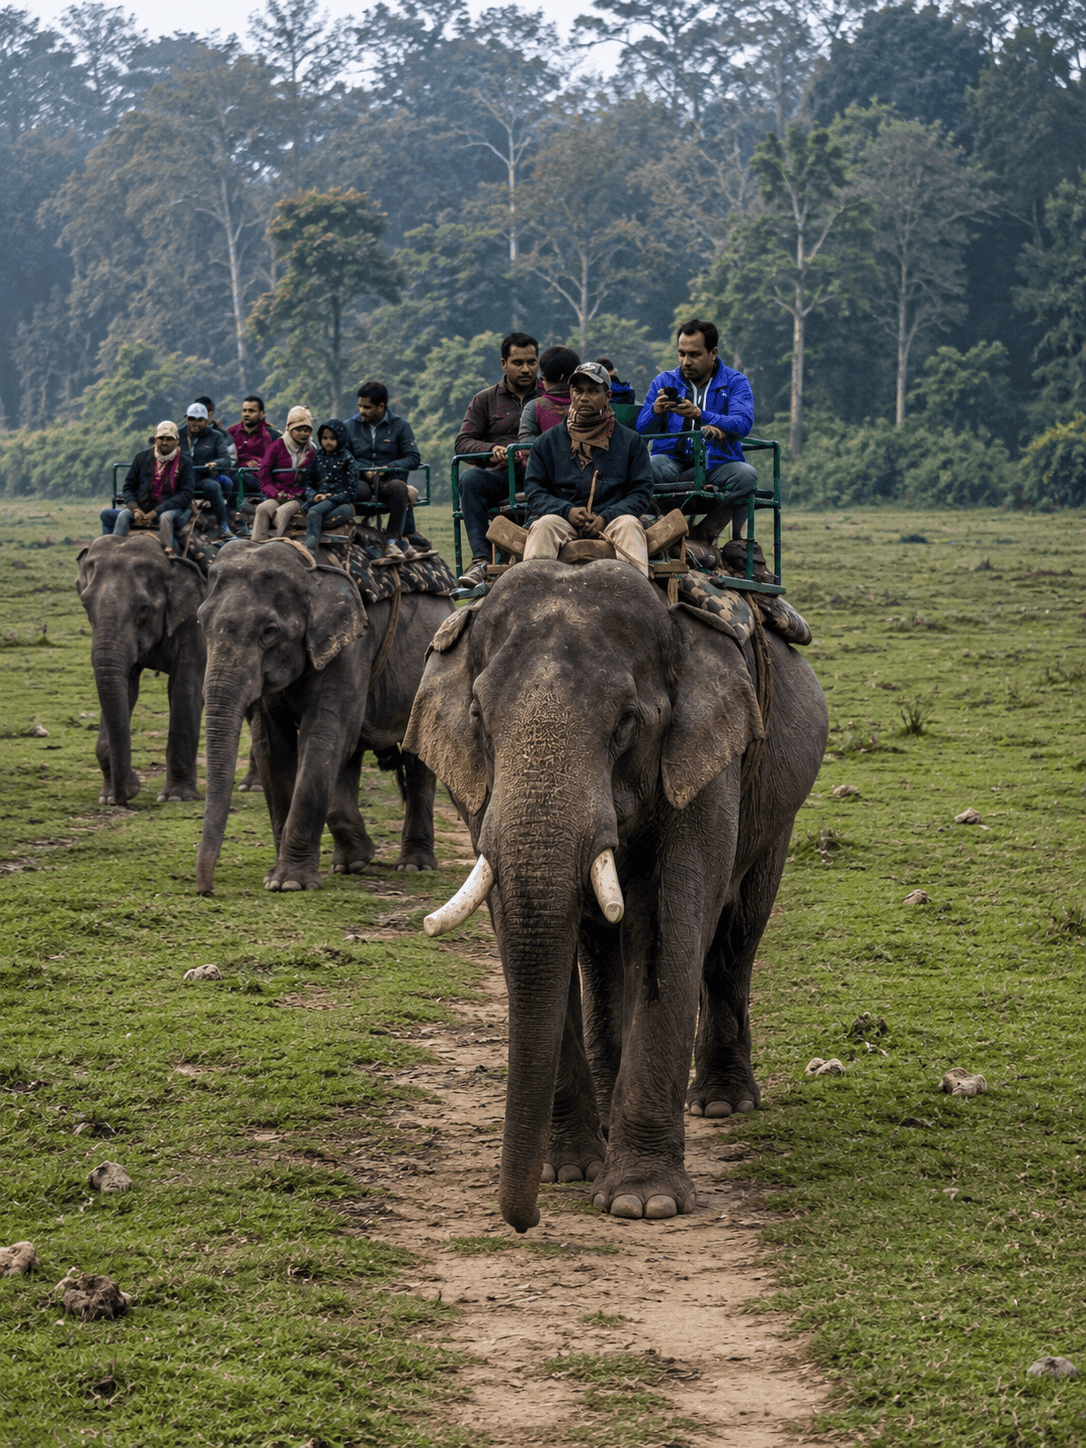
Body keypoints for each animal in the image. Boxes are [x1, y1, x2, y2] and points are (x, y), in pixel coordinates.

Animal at [76, 534, 206, 805]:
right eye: (85, 605)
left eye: (144, 608)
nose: (130, 788)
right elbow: (125, 687)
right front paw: (108, 797)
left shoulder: (193, 617)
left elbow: (185, 686)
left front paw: (176, 798)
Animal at [195, 539, 453, 895]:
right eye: (200, 622)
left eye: (269, 632)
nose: (206, 891)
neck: (308, 570)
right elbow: (273, 746)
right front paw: (276, 878)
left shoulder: (352, 644)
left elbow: (322, 736)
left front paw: (289, 883)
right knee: (350, 754)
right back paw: (351, 862)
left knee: (414, 763)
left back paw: (414, 864)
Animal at [403, 559, 828, 1233]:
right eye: (476, 717)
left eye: (628, 722)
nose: (524, 1223)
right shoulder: (479, 792)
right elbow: (520, 929)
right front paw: (567, 1172)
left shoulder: (705, 759)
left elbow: (666, 929)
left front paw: (641, 1203)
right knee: (600, 951)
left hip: (780, 803)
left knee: (737, 935)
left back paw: (720, 1104)